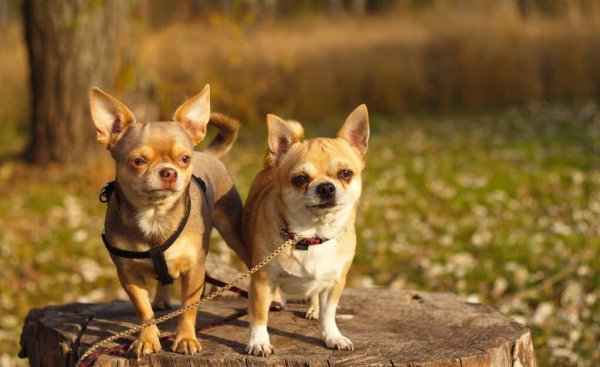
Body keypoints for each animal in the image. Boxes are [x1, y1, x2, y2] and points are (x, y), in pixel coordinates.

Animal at [88, 85, 250, 356]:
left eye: (184, 159)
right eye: (138, 161)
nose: (169, 172)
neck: (155, 216)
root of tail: (208, 153)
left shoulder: (194, 269)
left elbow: (188, 307)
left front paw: (185, 338)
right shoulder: (128, 274)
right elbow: (143, 311)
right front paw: (147, 339)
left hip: (233, 231)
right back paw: (162, 299)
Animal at [241, 104, 368, 356]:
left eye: (346, 174)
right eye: (300, 179)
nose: (326, 187)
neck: (311, 235)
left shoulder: (335, 283)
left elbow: (329, 314)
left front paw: (333, 336)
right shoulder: (261, 280)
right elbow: (258, 316)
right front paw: (259, 341)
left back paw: (313, 309)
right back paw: (277, 301)